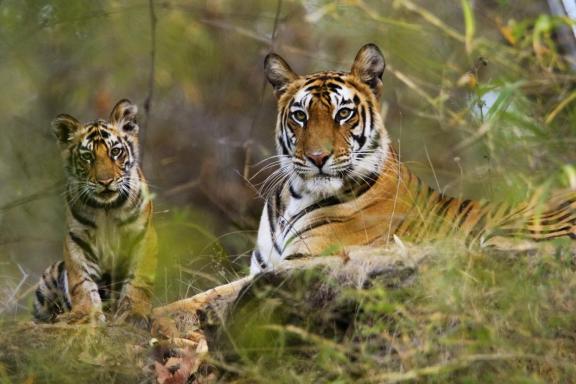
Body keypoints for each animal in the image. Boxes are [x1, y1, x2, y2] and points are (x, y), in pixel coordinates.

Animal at [32, 100, 156, 324]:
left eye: (115, 152)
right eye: (87, 156)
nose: (105, 181)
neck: (107, 209)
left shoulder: (143, 236)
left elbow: (138, 281)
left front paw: (134, 313)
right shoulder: (77, 241)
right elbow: (81, 283)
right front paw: (85, 314)